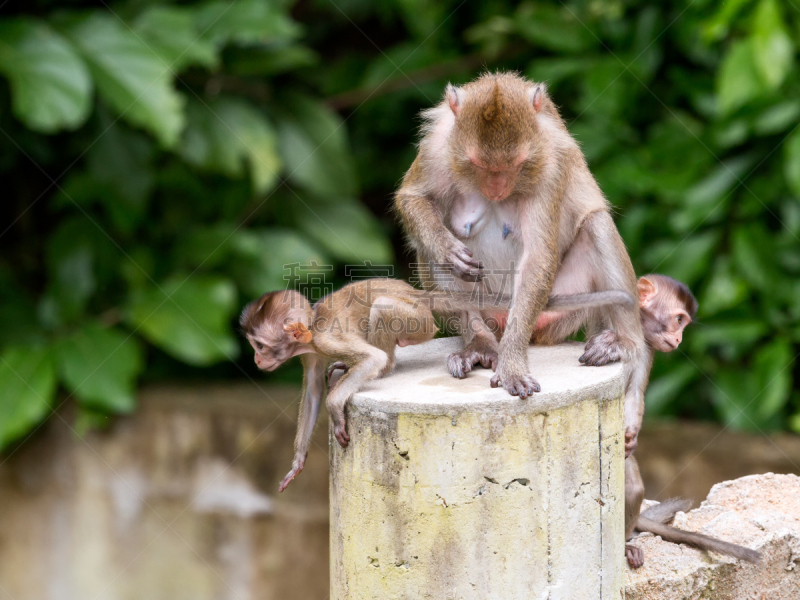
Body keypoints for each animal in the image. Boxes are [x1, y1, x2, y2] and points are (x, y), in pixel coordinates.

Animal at [241, 278, 628, 490]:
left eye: (259, 345)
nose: (258, 361)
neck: (311, 330)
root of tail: (416, 294)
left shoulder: (326, 339)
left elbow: (369, 362)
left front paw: (337, 407)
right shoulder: (310, 353)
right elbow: (312, 392)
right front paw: (297, 461)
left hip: (417, 321)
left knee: (384, 311)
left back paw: (385, 367)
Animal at [394, 71, 648, 454]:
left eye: (515, 164)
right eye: (479, 165)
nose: (497, 189)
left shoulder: (550, 164)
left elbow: (538, 255)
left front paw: (512, 363)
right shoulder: (437, 147)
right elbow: (413, 199)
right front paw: (445, 246)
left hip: (562, 308)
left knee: (596, 223)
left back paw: (630, 353)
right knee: (430, 250)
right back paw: (479, 343)